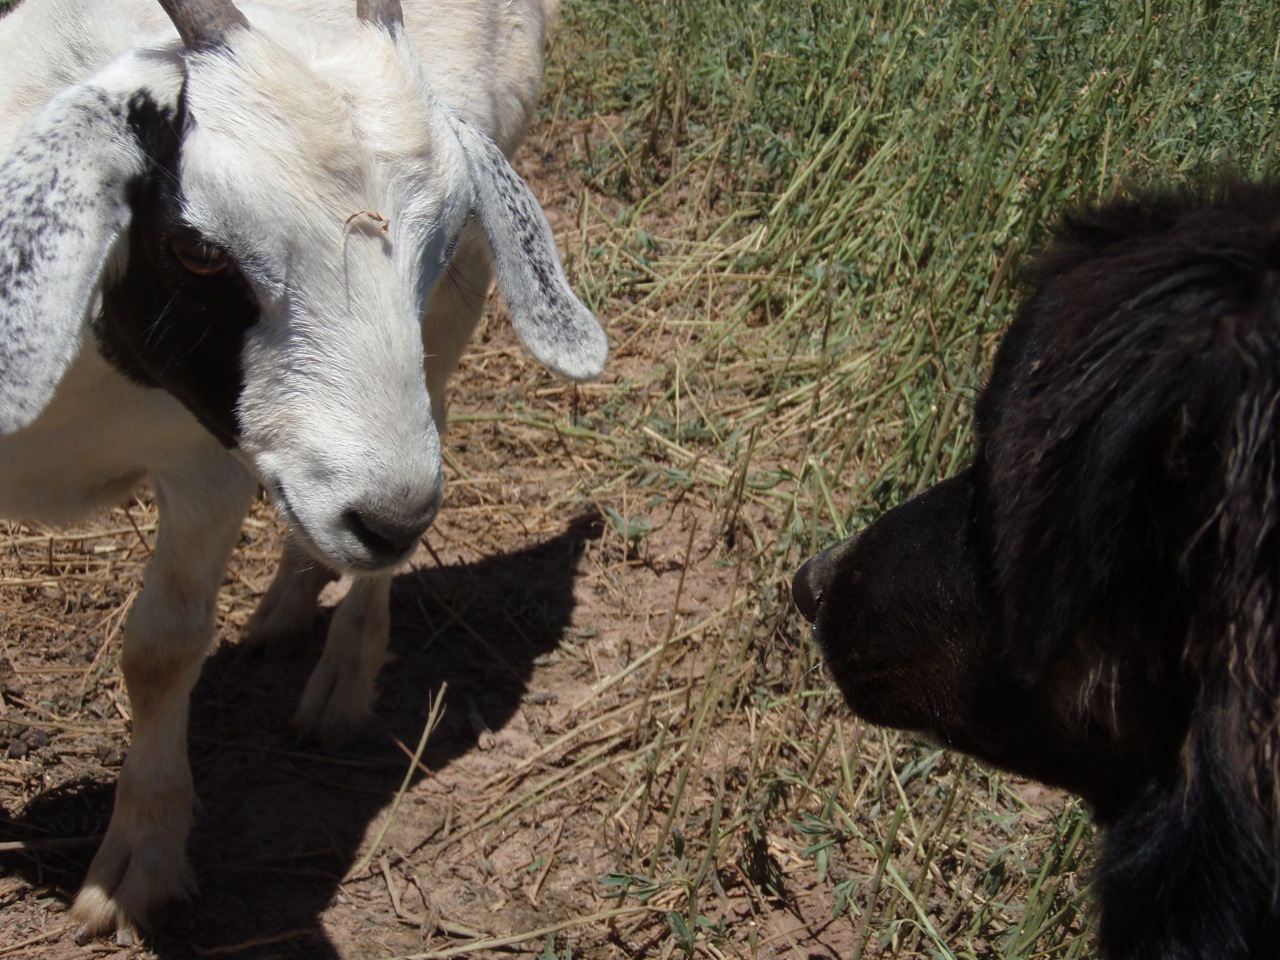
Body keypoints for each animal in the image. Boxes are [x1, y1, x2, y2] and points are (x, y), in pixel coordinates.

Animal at [0, 0, 607, 943]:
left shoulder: (208, 466)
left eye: (443, 234)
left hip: (448, 327)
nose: (386, 521)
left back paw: (341, 680)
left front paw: (140, 862)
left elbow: (161, 651)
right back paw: (289, 605)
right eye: (200, 248)